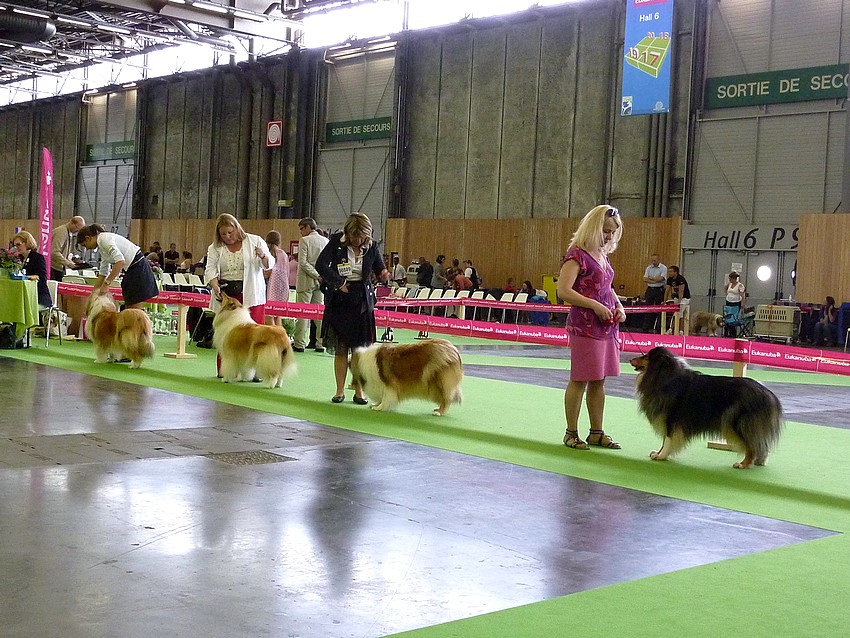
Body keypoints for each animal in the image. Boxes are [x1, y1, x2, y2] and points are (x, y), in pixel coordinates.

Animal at [628, 350, 780, 470]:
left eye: (647, 356)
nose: (630, 359)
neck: (665, 377)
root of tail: (768, 393)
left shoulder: (671, 418)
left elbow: (668, 439)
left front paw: (661, 455)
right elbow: (665, 440)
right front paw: (659, 453)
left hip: (738, 423)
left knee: (752, 446)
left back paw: (743, 464)